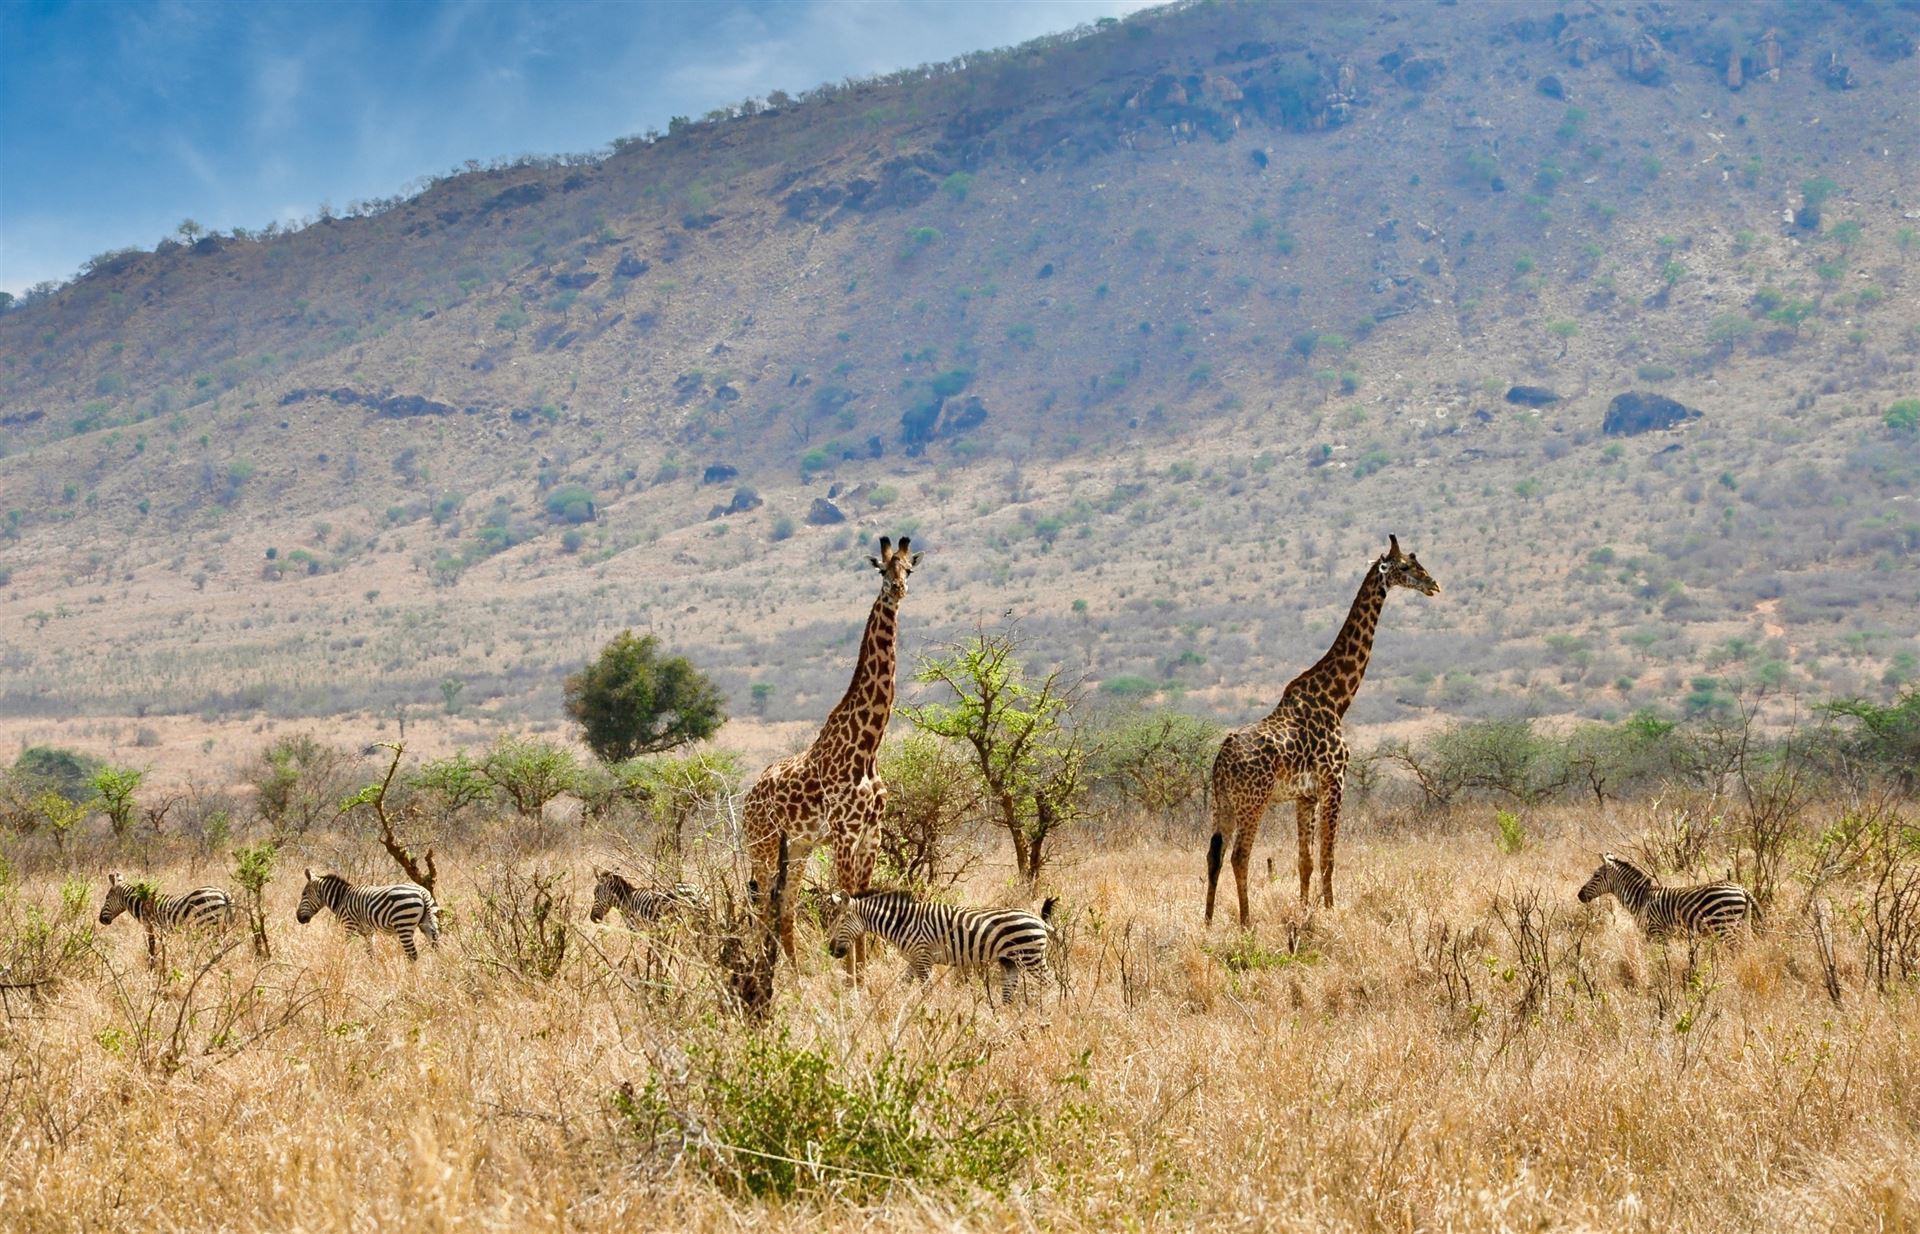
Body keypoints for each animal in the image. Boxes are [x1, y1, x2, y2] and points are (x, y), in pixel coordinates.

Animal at [743, 535, 921, 964]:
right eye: (882, 569)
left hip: (798, 846)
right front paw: (852, 976)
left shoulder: (872, 834)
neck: (868, 747)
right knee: (763, 907)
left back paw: (793, 974)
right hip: (762, 845)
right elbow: (849, 905)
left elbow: (863, 908)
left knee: (785, 906)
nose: (897, 589)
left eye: (909, 568)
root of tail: (746, 801)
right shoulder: (844, 834)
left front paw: (863, 972)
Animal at [1204, 536, 1439, 925]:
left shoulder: (1306, 796)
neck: (1336, 698)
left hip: (1222, 802)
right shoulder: (1334, 781)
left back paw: (1207, 923)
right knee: (1240, 856)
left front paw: (1304, 912)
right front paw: (1330, 912)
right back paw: (1246, 922)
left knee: (1214, 855)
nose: (1433, 584)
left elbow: (1306, 861)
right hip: (1253, 801)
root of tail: (1220, 762)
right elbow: (1329, 857)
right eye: (1405, 566)